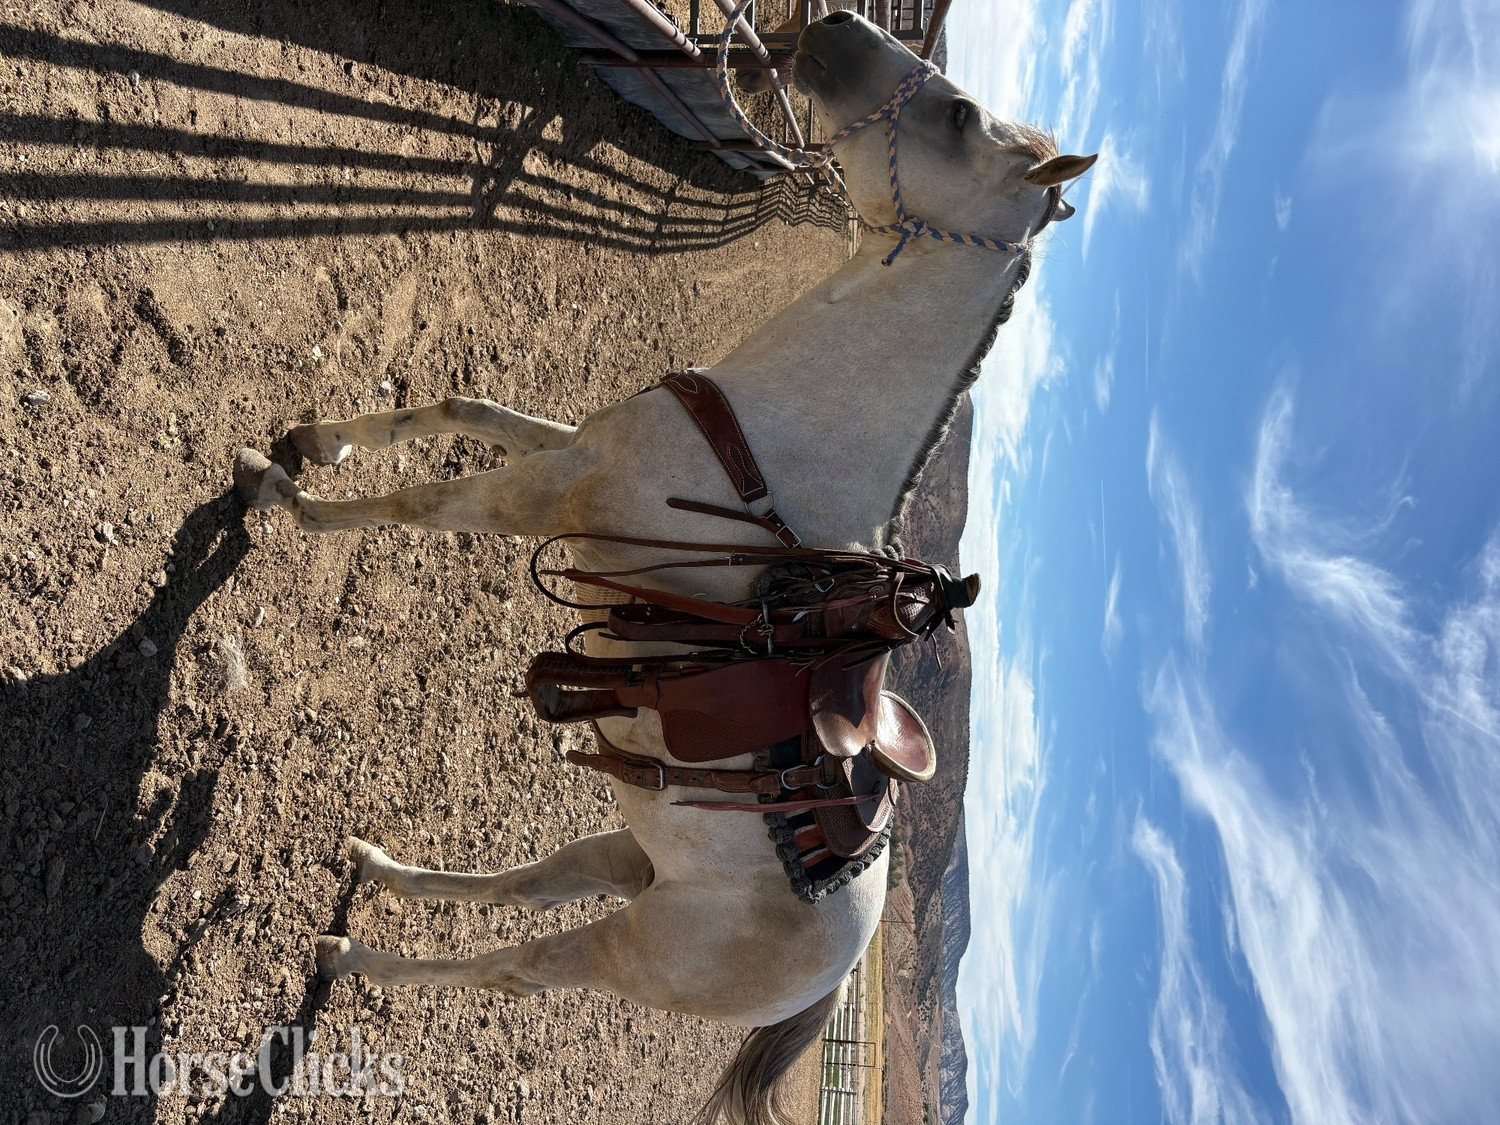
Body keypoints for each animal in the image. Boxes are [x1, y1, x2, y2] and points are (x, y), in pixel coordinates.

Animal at [233, 12, 1094, 1122]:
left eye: (956, 115)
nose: (834, 28)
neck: (766, 442)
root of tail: (829, 971)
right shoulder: (571, 449)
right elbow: (459, 408)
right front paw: (315, 439)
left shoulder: (546, 496)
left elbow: (415, 505)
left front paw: (281, 496)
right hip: (632, 852)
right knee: (517, 886)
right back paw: (381, 867)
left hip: (629, 946)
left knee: (513, 966)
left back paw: (350, 955)